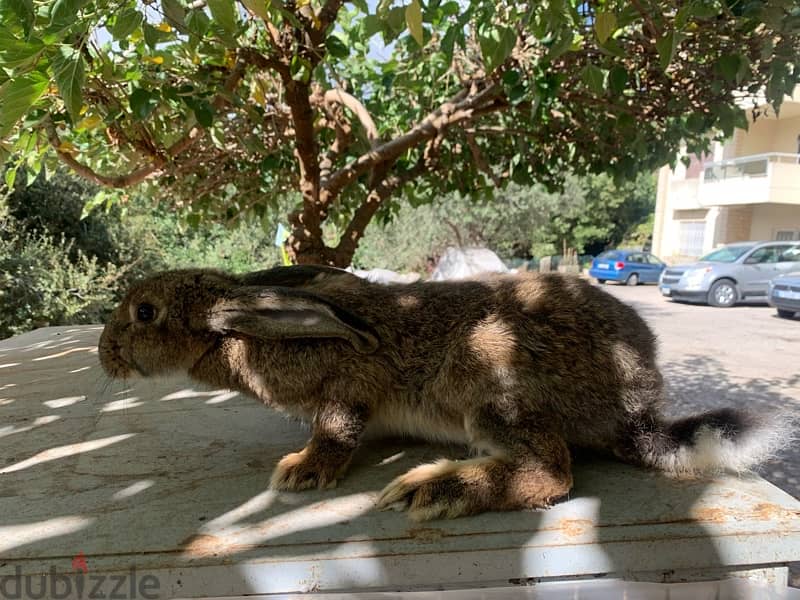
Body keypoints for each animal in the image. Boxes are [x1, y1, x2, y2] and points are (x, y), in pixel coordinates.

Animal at [98, 266, 788, 520]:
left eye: (146, 312)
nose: (104, 356)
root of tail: (634, 408)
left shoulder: (349, 386)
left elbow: (337, 429)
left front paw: (300, 471)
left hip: (485, 369)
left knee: (552, 472)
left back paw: (430, 489)